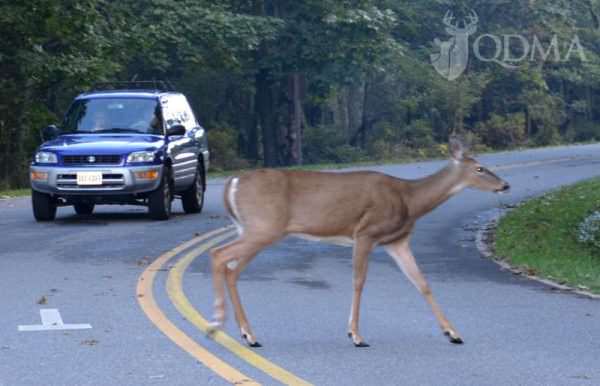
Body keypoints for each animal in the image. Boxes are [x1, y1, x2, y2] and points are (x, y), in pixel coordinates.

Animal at [209, 137, 508, 348]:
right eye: (480, 168)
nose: (505, 185)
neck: (410, 200)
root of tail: (232, 182)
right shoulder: (366, 232)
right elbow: (358, 281)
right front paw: (355, 335)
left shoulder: (397, 241)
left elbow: (421, 282)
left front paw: (453, 333)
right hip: (263, 228)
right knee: (218, 254)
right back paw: (220, 323)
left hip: (253, 230)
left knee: (231, 268)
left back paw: (246, 333)